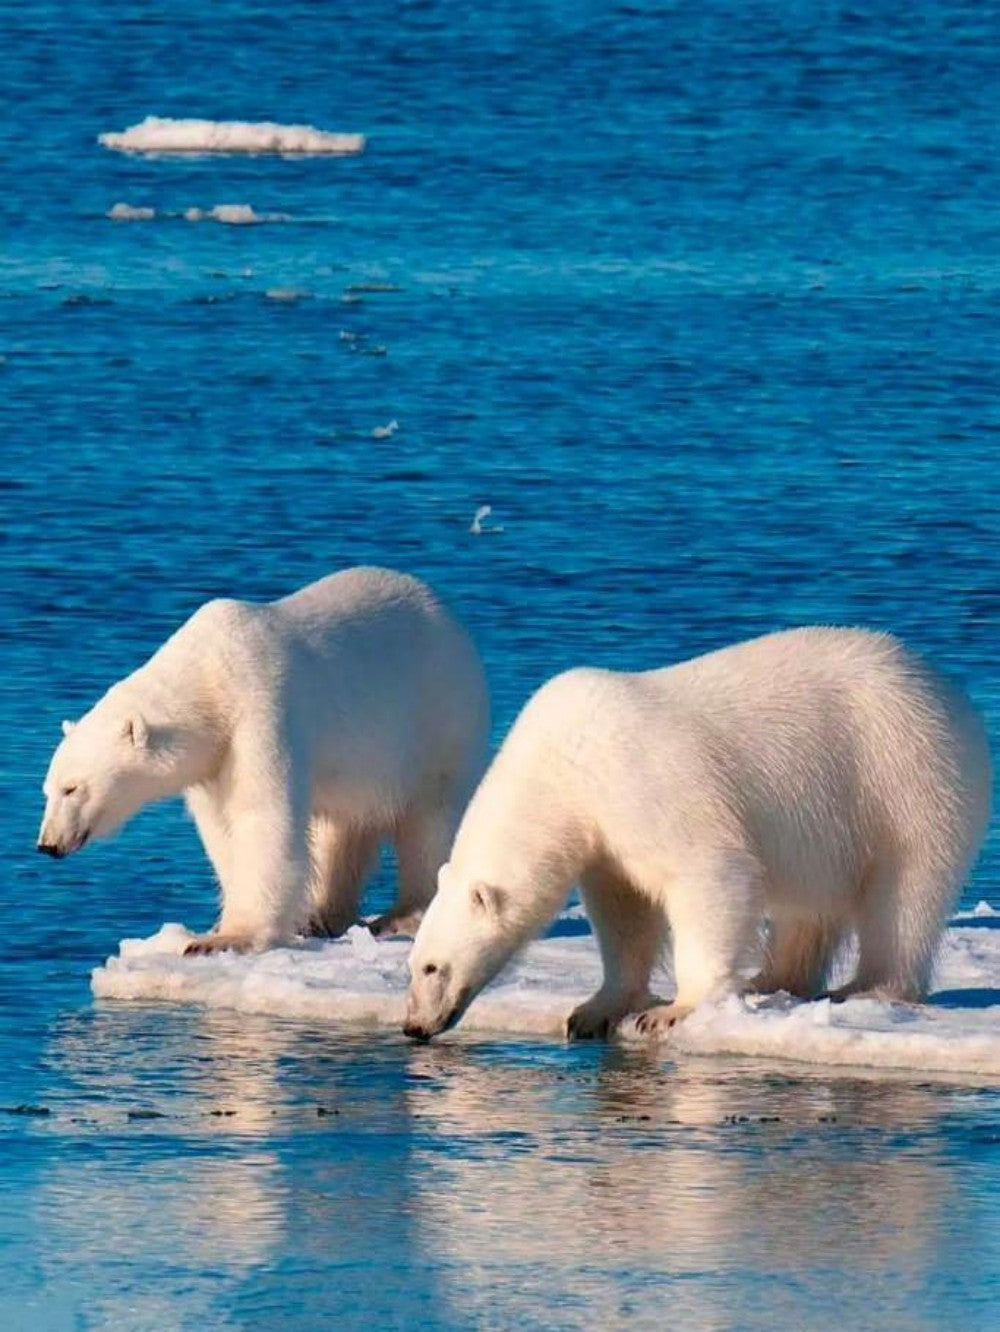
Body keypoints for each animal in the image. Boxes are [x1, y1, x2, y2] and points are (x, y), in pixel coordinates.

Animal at [38, 566, 490, 954]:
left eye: (72, 788)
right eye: (48, 789)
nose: (47, 844)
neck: (208, 678)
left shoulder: (260, 708)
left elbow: (262, 813)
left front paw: (224, 939)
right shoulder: (214, 758)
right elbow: (222, 829)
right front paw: (224, 925)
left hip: (440, 713)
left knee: (430, 816)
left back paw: (406, 913)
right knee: (342, 828)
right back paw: (320, 916)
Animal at [403, 627, 991, 1041]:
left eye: (433, 966)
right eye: (411, 965)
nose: (413, 1027)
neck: (564, 764)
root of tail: (951, 693)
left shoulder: (646, 784)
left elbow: (708, 873)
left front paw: (672, 1011)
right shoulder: (603, 840)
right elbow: (625, 912)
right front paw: (592, 1011)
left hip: (904, 779)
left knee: (905, 895)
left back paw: (868, 987)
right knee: (808, 908)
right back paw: (772, 979)